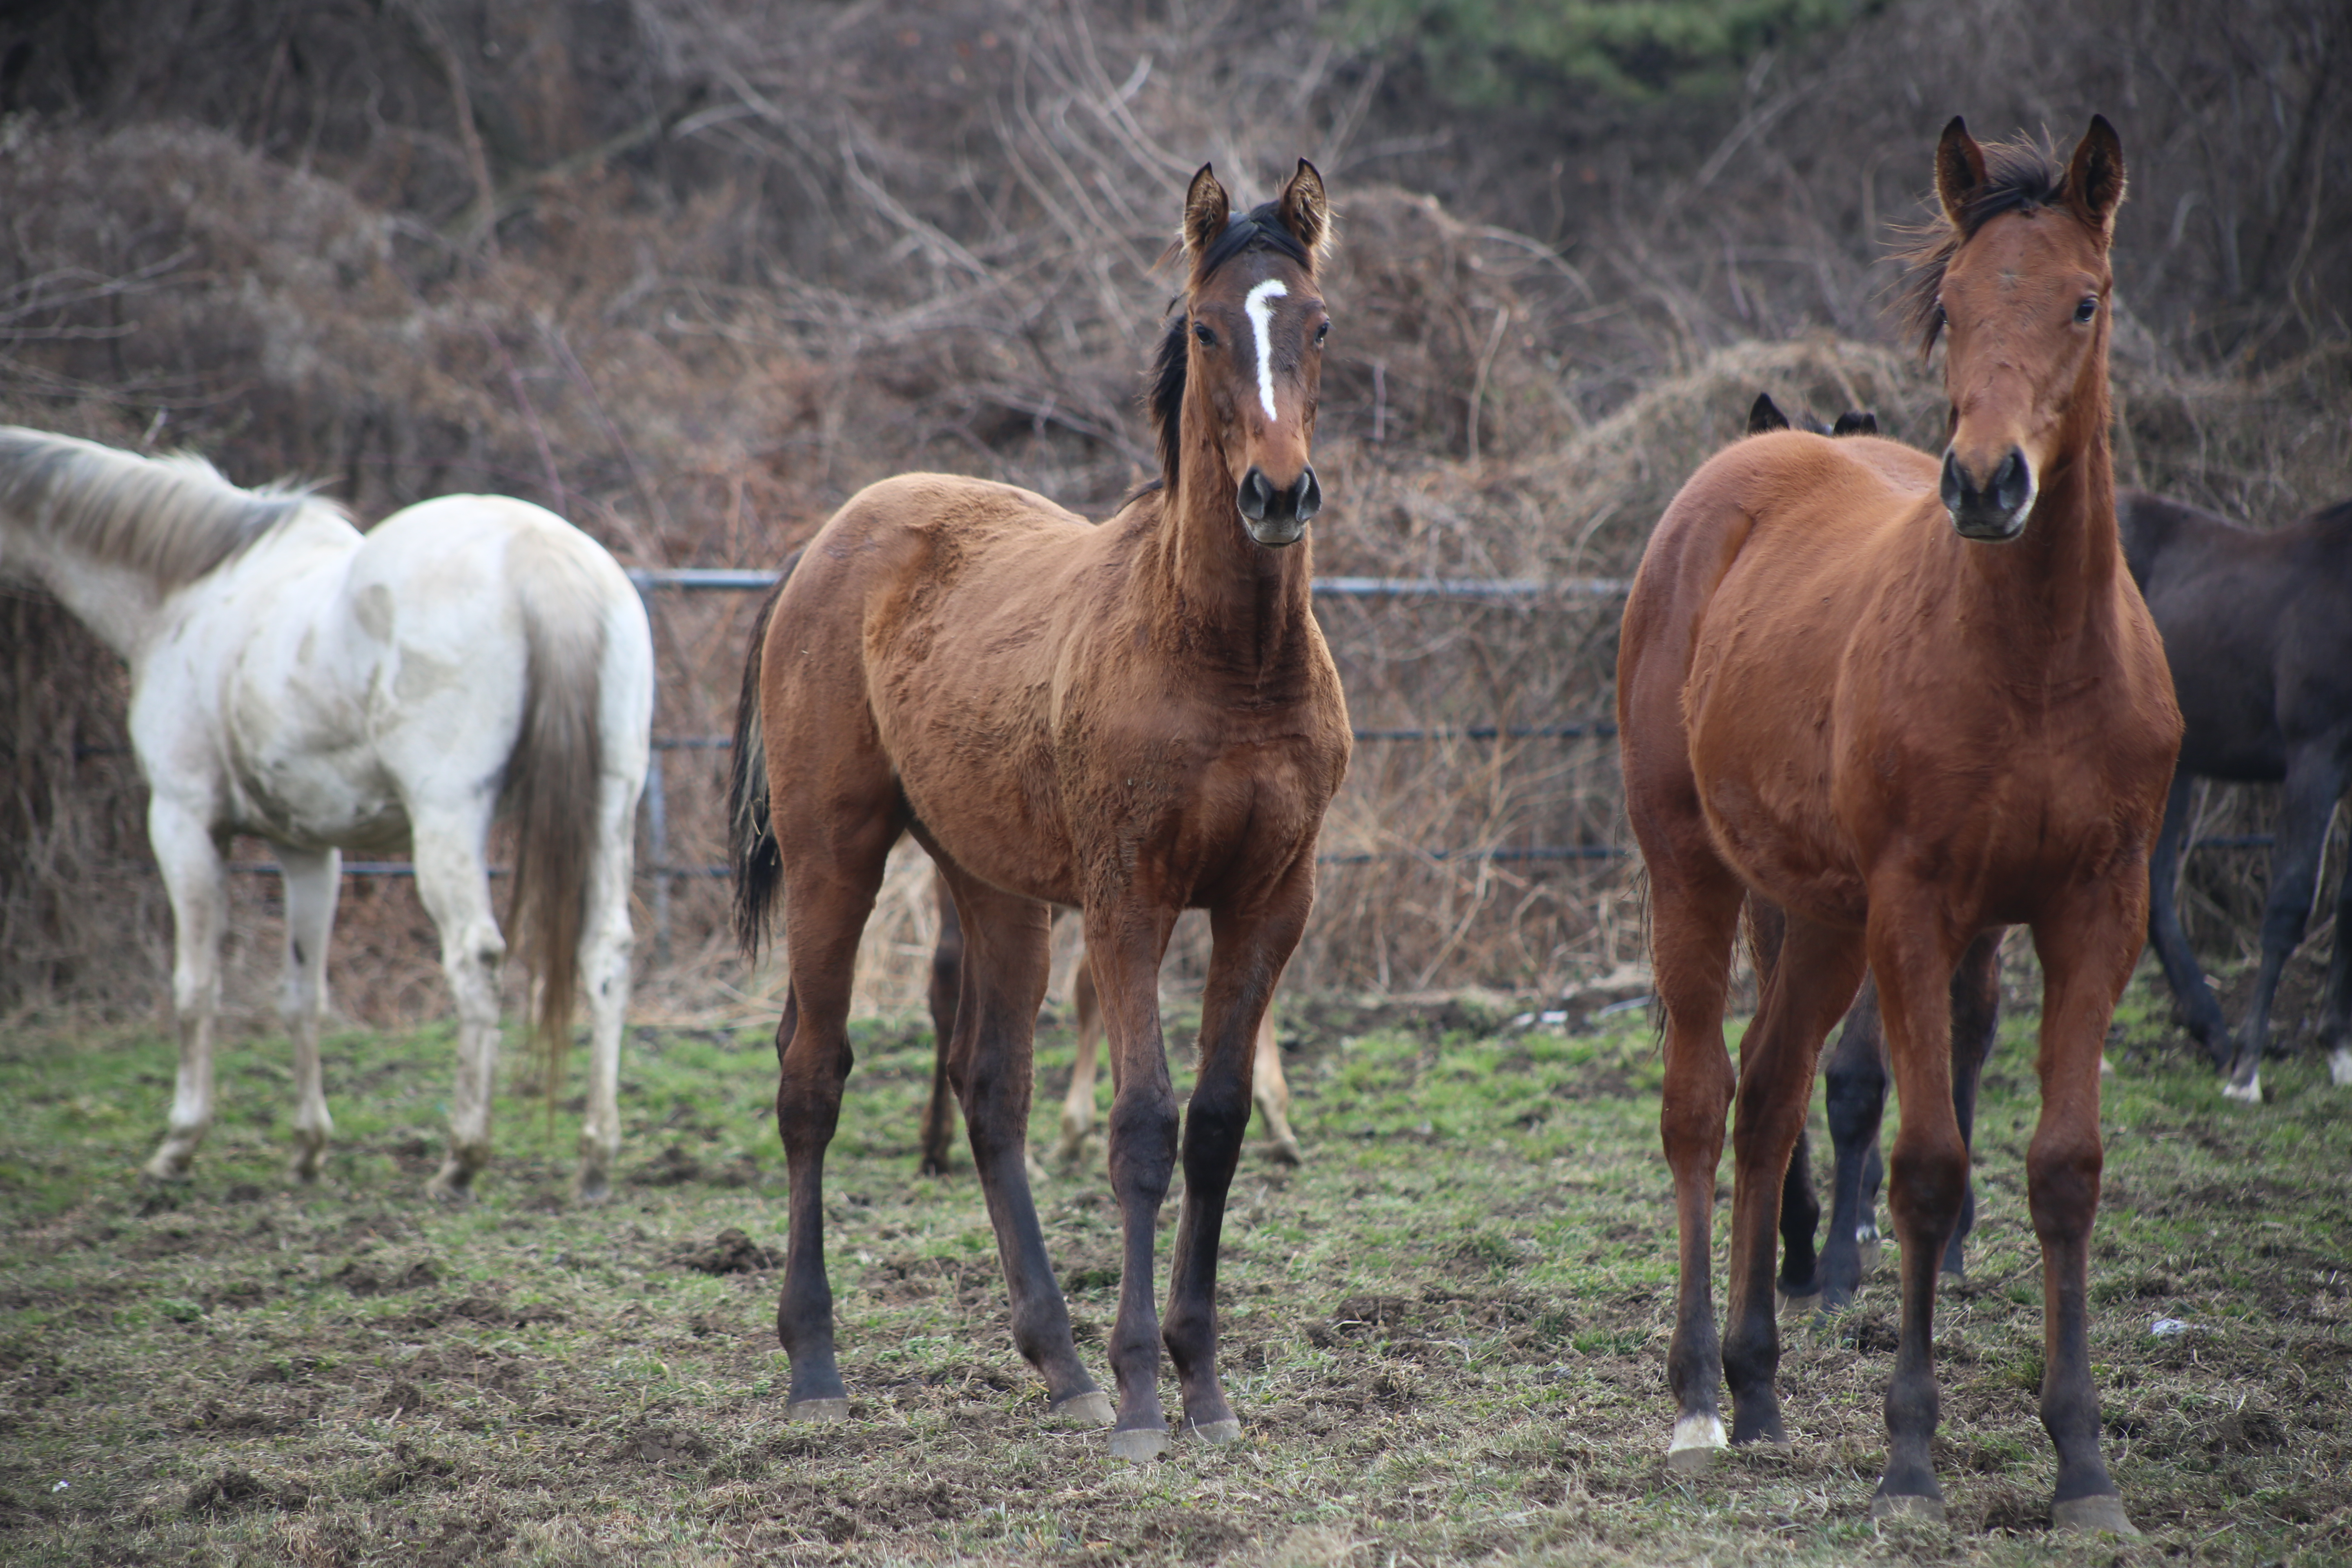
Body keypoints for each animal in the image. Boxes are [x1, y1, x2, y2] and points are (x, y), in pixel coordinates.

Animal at [0, 430, 654, 1203]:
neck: (186, 589)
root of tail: (542, 558)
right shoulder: (308, 849)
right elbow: (303, 993)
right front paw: (307, 1149)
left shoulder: (184, 822)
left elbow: (195, 988)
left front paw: (179, 1145)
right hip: (611, 803)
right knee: (606, 954)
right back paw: (596, 1158)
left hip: (449, 818)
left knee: (477, 959)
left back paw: (461, 1159)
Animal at [724, 160, 1354, 1457]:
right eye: (1205, 329)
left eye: (1317, 325)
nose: (1277, 494)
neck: (1227, 659)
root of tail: (828, 540)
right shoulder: (1128, 902)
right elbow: (1143, 1127)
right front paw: (1145, 1399)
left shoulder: (1271, 902)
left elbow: (1216, 1125)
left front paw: (1201, 1384)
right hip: (834, 857)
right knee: (812, 1076)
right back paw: (816, 1364)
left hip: (993, 886)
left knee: (989, 1089)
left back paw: (1056, 1360)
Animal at [1618, 120, 2183, 1532]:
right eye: (1953, 309)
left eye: (2084, 300)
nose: (1987, 484)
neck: (2035, 661)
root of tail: (1741, 467)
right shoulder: (1922, 912)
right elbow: (1928, 1167)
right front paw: (1911, 1457)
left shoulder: (2097, 911)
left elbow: (2065, 1168)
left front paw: (2086, 1466)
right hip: (1693, 872)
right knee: (1701, 1103)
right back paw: (1698, 1396)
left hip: (1822, 915)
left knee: (1770, 1098)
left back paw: (1761, 1387)